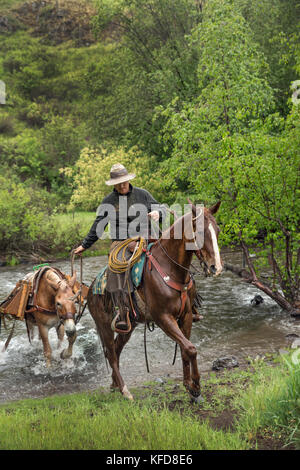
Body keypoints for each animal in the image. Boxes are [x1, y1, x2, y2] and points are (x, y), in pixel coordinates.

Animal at [86, 201, 223, 400]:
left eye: (217, 230)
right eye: (198, 231)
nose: (216, 267)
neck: (170, 268)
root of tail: (90, 289)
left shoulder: (186, 316)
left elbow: (185, 349)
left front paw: (188, 385)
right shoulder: (163, 318)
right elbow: (190, 349)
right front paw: (196, 385)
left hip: (128, 326)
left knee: (117, 350)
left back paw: (114, 385)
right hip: (104, 325)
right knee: (111, 353)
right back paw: (125, 390)